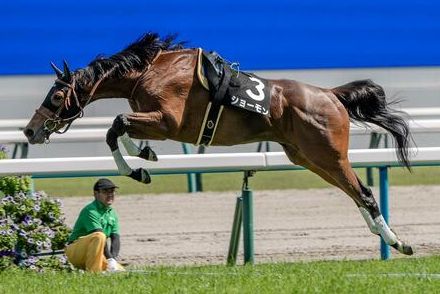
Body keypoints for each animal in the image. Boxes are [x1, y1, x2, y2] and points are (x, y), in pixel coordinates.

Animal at [25, 32, 414, 255]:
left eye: (57, 96)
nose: (30, 131)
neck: (150, 71)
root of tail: (331, 95)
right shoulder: (158, 122)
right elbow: (121, 130)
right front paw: (144, 157)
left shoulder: (168, 121)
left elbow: (116, 125)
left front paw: (139, 166)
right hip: (308, 158)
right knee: (356, 194)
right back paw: (388, 239)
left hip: (329, 155)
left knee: (364, 193)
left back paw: (400, 243)